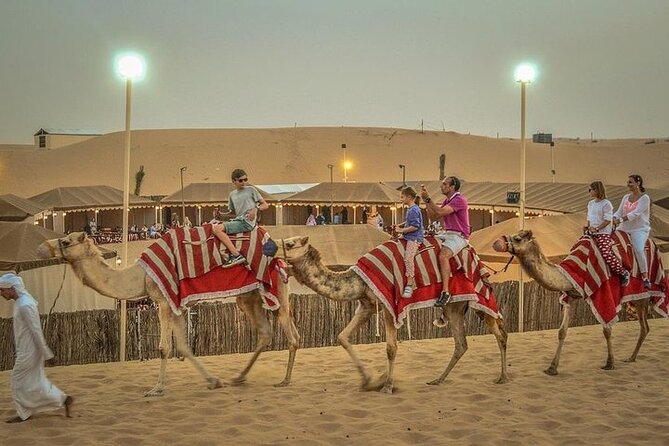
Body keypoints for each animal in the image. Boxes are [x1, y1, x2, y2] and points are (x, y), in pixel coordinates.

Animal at [36, 232, 298, 396]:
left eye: (66, 241)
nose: (41, 248)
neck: (140, 275)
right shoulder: (177, 306)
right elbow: (183, 346)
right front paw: (214, 381)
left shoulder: (163, 300)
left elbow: (164, 347)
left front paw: (157, 389)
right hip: (249, 297)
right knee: (265, 332)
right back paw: (239, 377)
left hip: (275, 288)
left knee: (291, 334)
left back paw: (285, 381)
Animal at [276, 235, 506, 392]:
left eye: (290, 244)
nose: (272, 246)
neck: (357, 280)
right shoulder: (367, 305)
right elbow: (342, 337)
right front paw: (368, 380)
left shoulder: (389, 306)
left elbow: (391, 348)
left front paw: (386, 385)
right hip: (455, 307)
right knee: (462, 343)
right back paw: (438, 380)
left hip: (474, 297)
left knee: (499, 332)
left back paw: (502, 377)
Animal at [490, 228, 648, 374]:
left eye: (517, 238)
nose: (497, 242)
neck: (571, 273)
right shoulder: (570, 295)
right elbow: (562, 331)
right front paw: (552, 368)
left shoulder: (603, 294)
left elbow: (607, 329)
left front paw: (610, 363)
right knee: (645, 326)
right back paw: (632, 357)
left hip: (641, 291)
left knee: (644, 322)